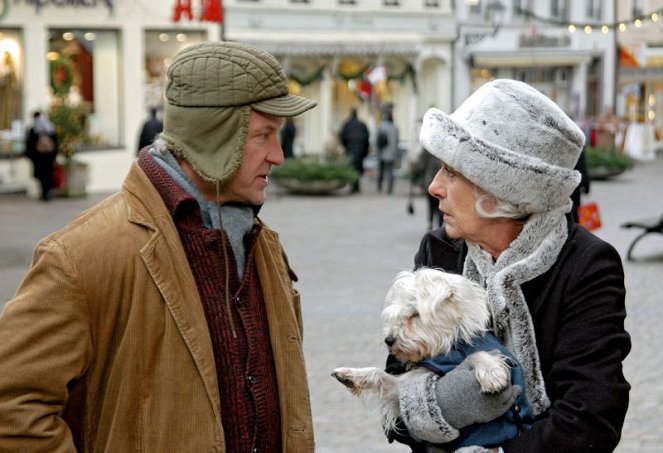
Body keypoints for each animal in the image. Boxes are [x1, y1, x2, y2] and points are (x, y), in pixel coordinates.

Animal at [332, 266, 512, 432]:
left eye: (415, 314)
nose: (388, 340)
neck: (444, 350)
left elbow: (476, 353)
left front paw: (492, 373)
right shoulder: (407, 389)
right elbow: (379, 375)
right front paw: (350, 374)